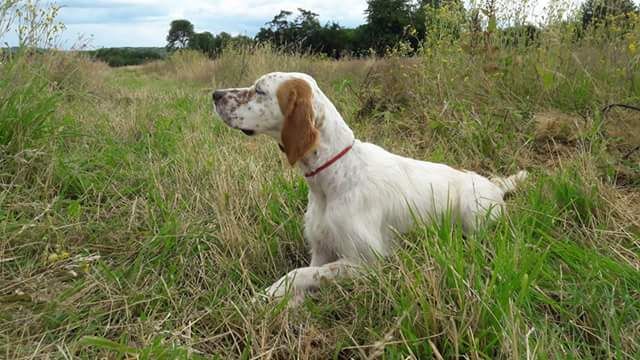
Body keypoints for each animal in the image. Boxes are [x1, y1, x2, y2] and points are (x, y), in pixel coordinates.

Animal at [212, 71, 528, 302]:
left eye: (259, 91)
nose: (215, 94)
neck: (334, 177)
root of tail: (495, 185)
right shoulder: (321, 249)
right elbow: (307, 274)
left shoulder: (368, 263)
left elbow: (298, 273)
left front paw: (269, 294)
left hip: (474, 215)